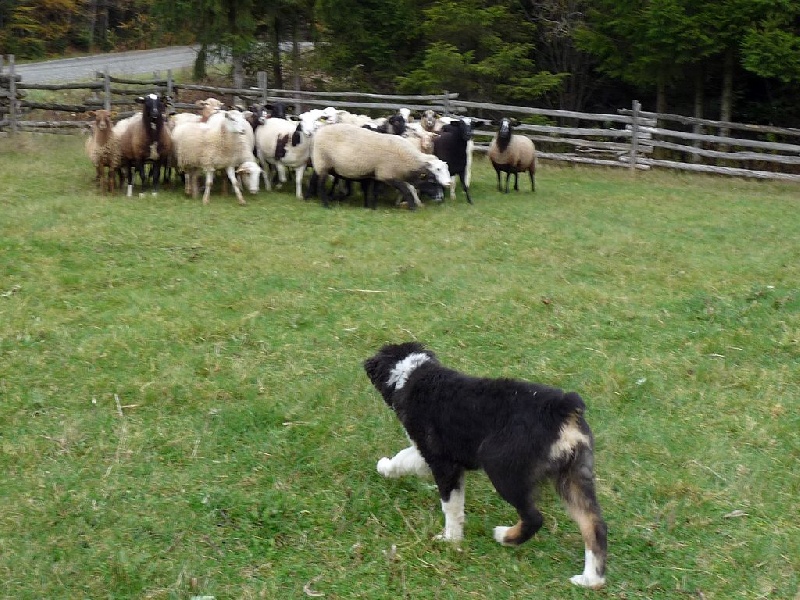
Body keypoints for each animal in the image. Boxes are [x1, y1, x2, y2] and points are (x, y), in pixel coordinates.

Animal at [310, 120, 454, 210]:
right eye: (432, 180)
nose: (441, 197)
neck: (407, 160)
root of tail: (319, 132)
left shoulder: (379, 174)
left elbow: (375, 192)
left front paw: (372, 208)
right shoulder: (388, 174)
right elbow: (407, 191)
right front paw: (413, 207)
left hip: (325, 164)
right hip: (322, 162)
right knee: (320, 185)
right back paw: (325, 204)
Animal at [362, 340, 608, 588]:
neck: (413, 374)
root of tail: (563, 407)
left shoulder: (442, 461)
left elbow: (450, 505)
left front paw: (450, 539)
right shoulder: (430, 455)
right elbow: (405, 458)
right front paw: (385, 466)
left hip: (502, 468)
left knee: (534, 517)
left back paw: (505, 536)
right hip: (574, 473)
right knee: (594, 524)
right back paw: (590, 579)